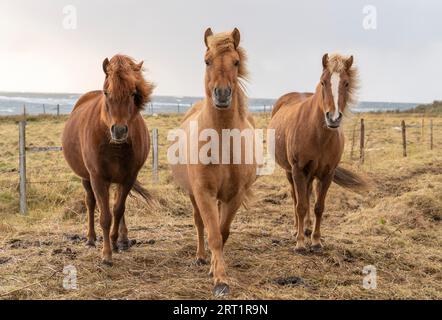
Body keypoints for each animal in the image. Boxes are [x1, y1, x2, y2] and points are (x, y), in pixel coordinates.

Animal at [60, 54, 154, 264]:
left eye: (133, 93)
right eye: (106, 92)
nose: (119, 130)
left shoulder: (128, 178)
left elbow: (118, 210)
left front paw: (115, 241)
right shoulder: (98, 178)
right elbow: (105, 216)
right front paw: (106, 254)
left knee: (119, 206)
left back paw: (123, 240)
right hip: (86, 178)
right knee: (90, 202)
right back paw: (90, 239)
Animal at [171, 28, 258, 296]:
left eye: (236, 62)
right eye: (207, 60)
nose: (221, 94)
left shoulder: (234, 195)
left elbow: (223, 232)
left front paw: (216, 271)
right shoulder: (203, 193)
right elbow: (212, 235)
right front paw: (220, 280)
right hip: (194, 195)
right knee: (199, 223)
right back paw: (200, 257)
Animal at [272, 54, 368, 255]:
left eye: (346, 83)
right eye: (323, 82)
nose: (333, 117)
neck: (317, 134)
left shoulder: (327, 173)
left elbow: (318, 206)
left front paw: (316, 241)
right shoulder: (298, 170)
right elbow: (300, 205)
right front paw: (300, 243)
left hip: (311, 174)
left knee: (308, 194)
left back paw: (308, 228)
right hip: (290, 172)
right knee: (296, 197)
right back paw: (297, 229)